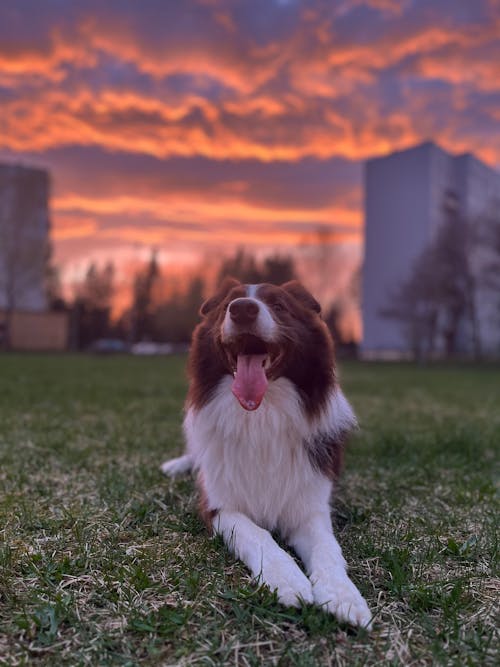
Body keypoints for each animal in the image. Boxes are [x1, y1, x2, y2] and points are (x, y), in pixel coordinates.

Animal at [160, 278, 372, 632]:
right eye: (228, 304)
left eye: (280, 305)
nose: (243, 309)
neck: (261, 417)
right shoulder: (218, 505)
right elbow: (258, 535)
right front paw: (289, 581)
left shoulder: (310, 505)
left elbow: (328, 548)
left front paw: (344, 596)